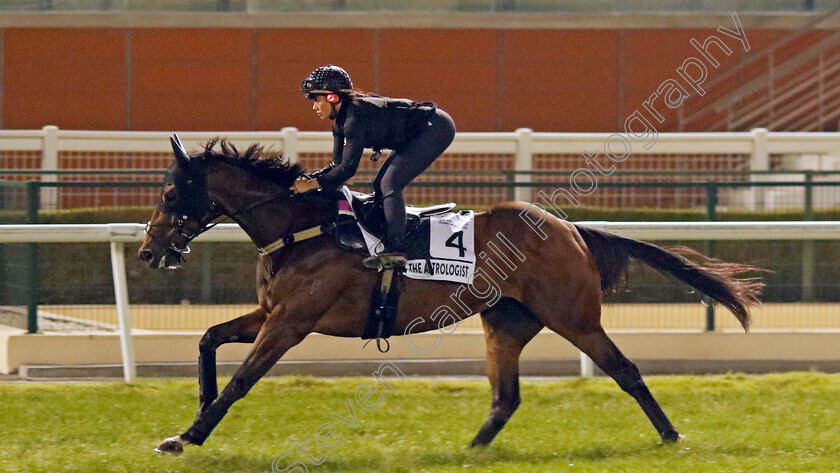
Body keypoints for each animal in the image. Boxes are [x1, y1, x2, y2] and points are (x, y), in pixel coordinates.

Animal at [141, 136, 764, 454]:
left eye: (171, 195)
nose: (148, 253)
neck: (302, 228)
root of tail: (571, 228)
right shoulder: (271, 311)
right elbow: (208, 338)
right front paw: (195, 411)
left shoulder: (292, 322)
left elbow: (243, 378)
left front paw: (190, 434)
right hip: (506, 320)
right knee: (505, 396)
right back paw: (469, 450)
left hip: (574, 317)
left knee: (626, 370)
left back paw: (671, 435)